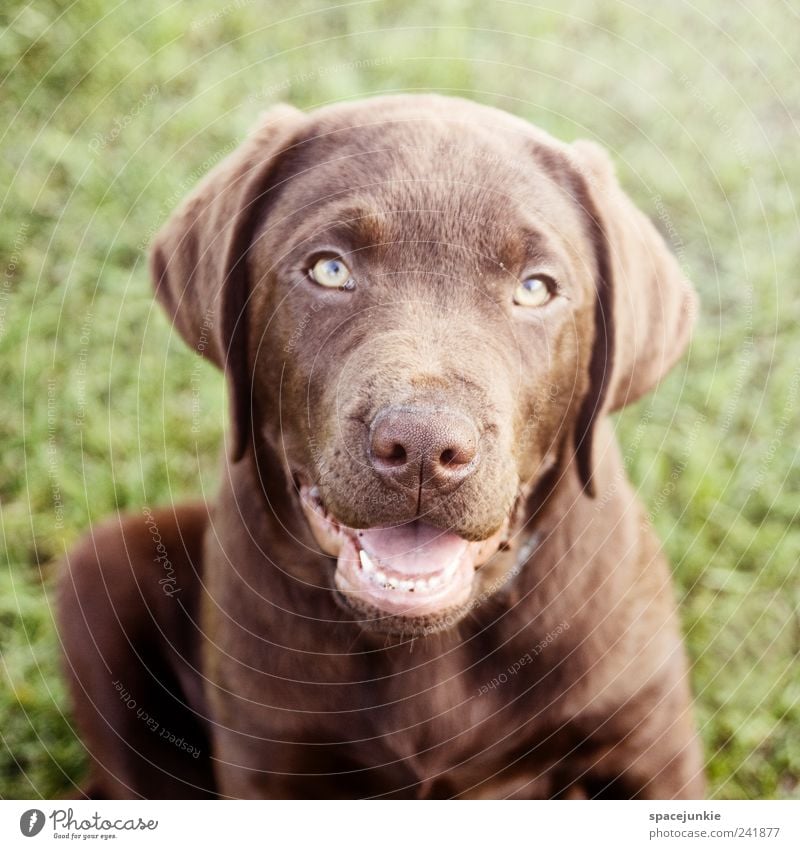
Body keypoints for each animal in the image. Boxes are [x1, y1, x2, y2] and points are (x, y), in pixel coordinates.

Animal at [59, 96, 704, 800]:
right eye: (330, 269)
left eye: (535, 288)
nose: (423, 447)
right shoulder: (268, 763)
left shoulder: (650, 744)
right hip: (96, 570)